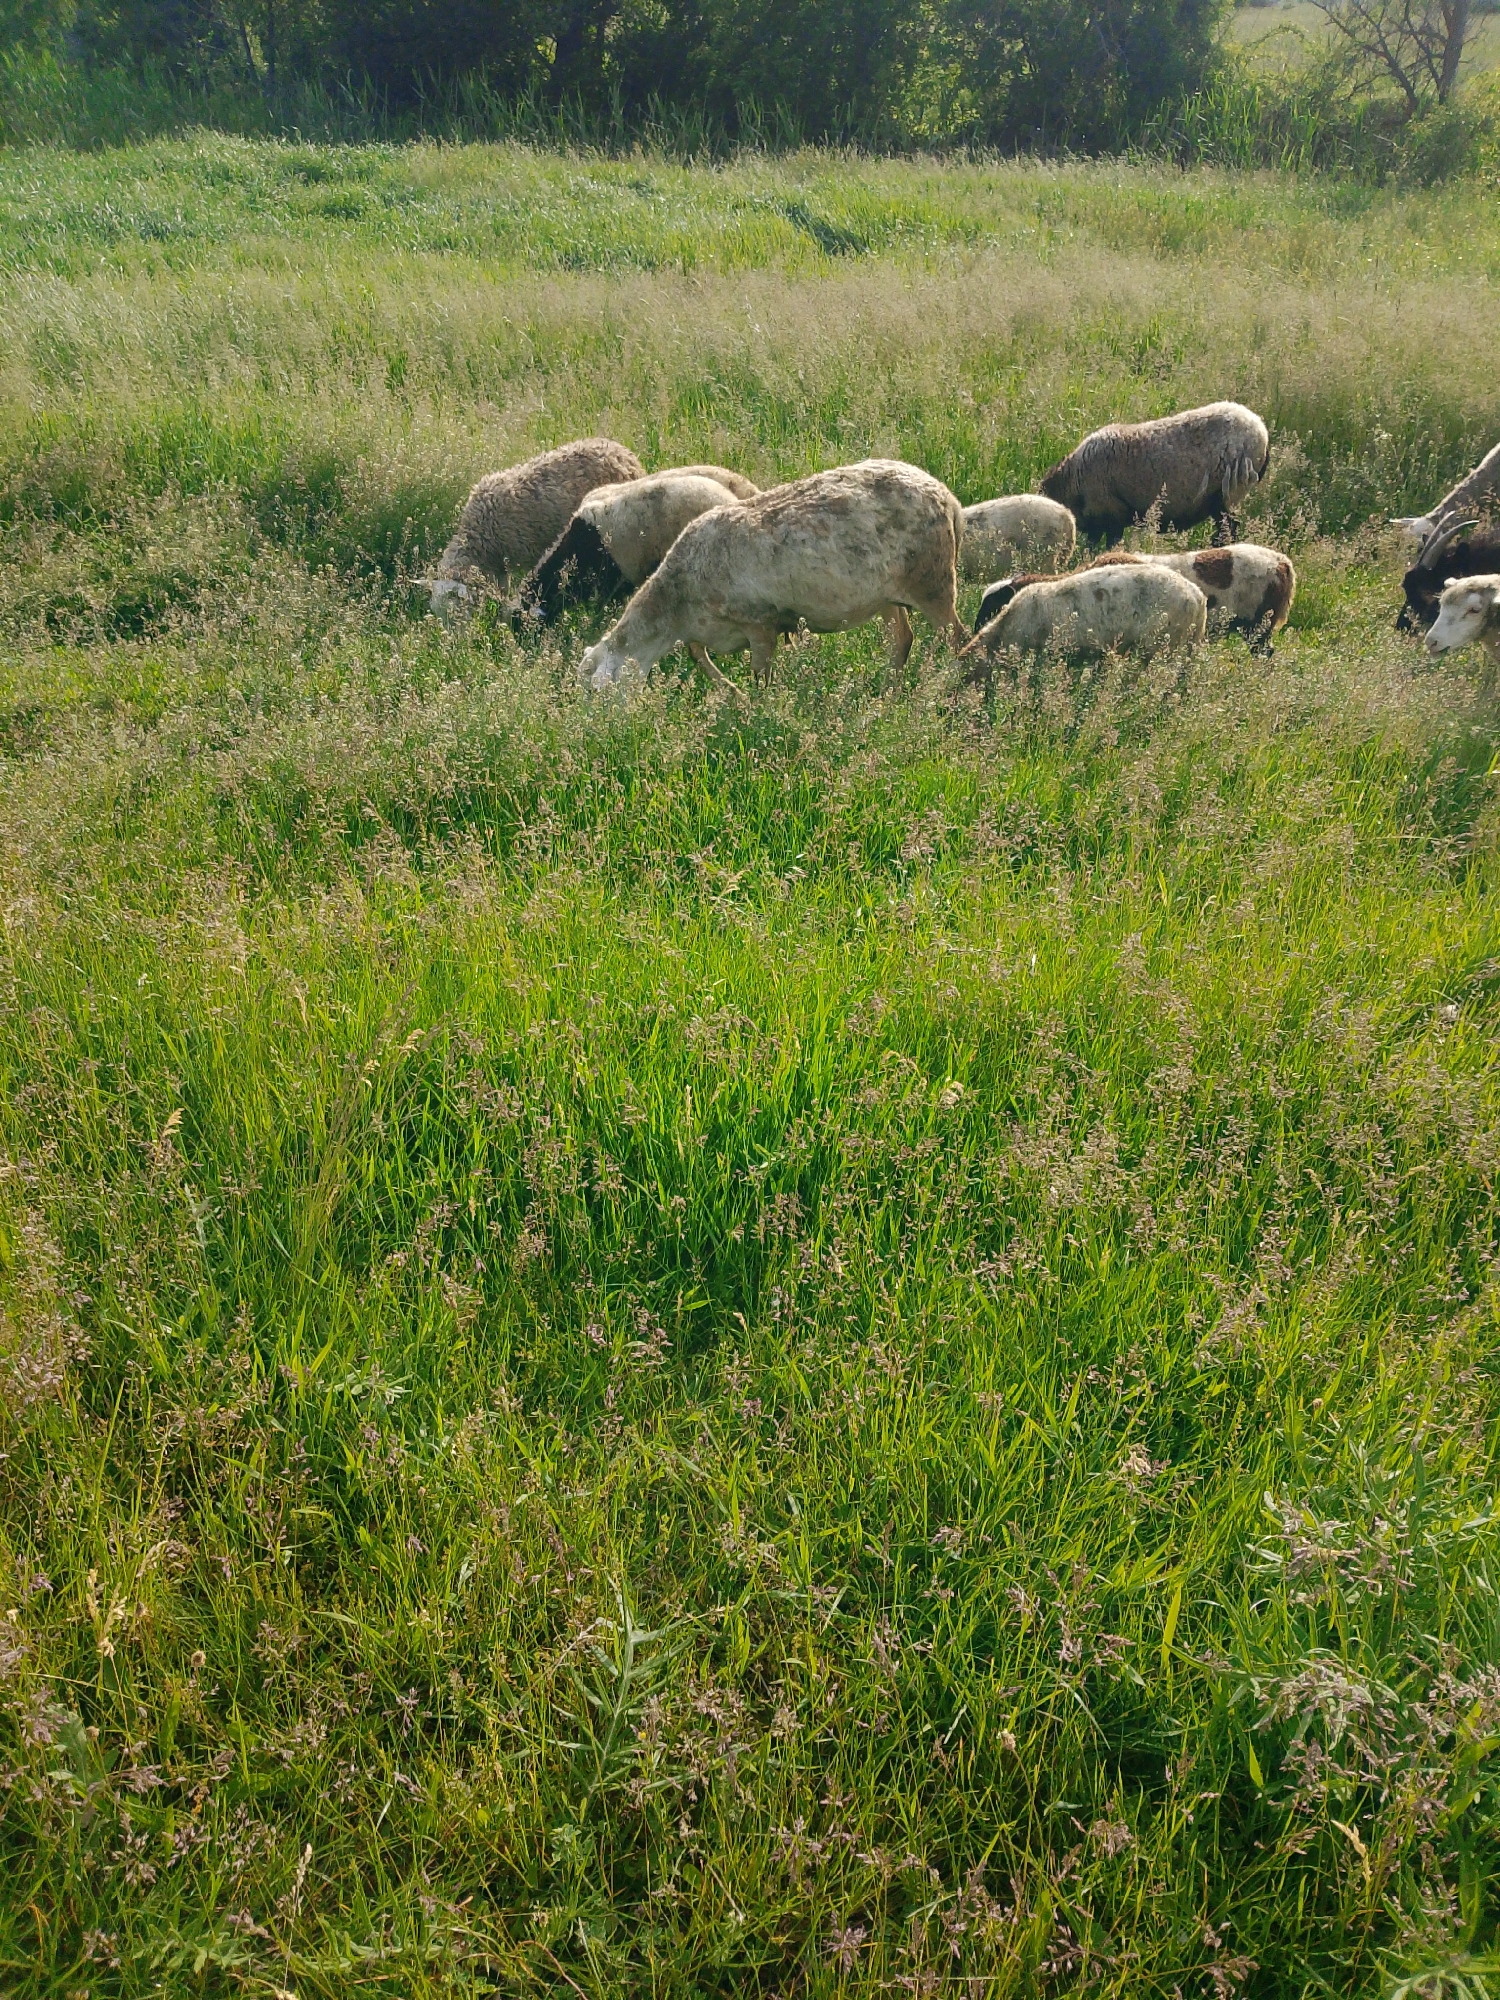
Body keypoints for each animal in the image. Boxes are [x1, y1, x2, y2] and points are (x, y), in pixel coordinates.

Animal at [578, 460, 967, 693]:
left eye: (596, 692)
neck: (677, 604)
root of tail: (949, 499)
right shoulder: (704, 627)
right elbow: (696, 654)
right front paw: (730, 693)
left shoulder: (759, 623)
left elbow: (759, 675)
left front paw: (754, 707)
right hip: (886, 594)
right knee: (903, 638)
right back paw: (886, 692)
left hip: (932, 581)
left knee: (957, 638)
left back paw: (953, 686)